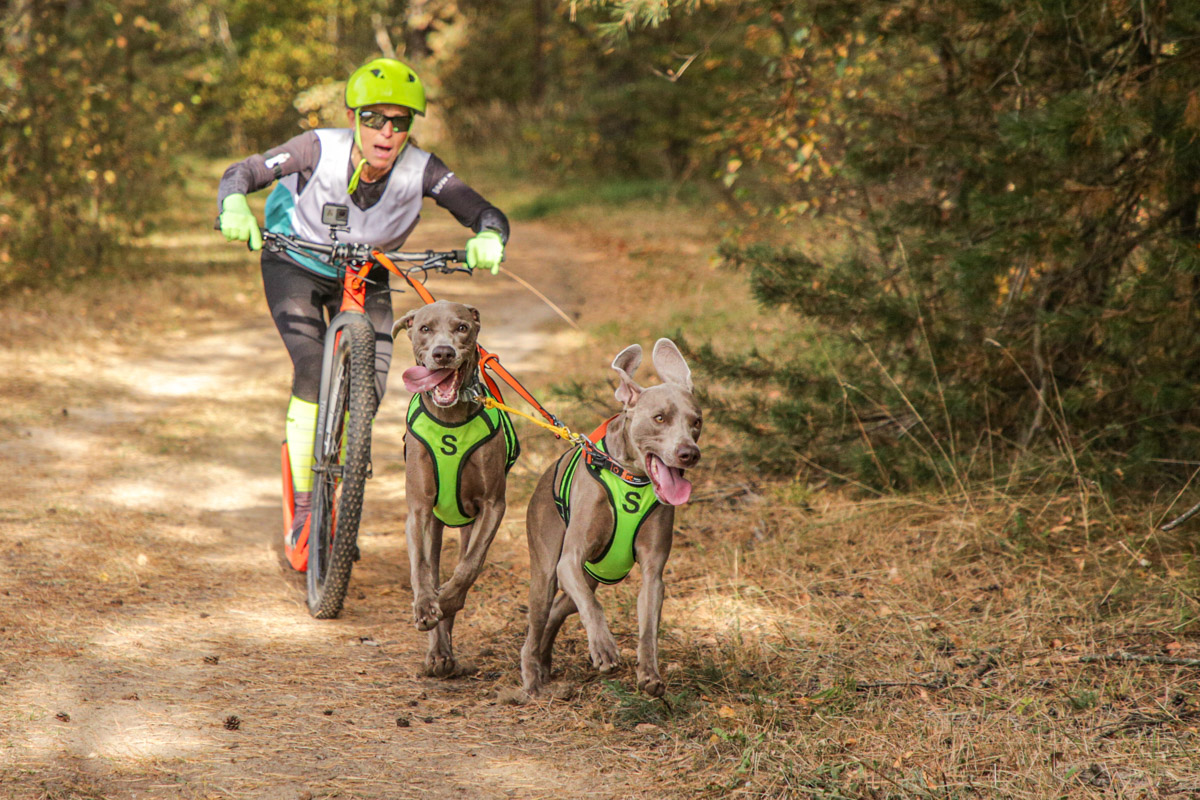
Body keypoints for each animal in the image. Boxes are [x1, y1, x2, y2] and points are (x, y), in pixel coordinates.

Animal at [391, 299, 518, 676]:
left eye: (462, 327)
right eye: (424, 329)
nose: (443, 353)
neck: (450, 419)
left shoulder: (492, 505)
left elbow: (469, 566)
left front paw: (447, 599)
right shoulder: (419, 509)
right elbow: (421, 568)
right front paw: (425, 607)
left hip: (467, 523)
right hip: (435, 524)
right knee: (431, 565)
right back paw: (438, 651)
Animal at [518, 340, 700, 695]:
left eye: (696, 421)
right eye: (659, 418)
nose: (689, 453)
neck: (630, 477)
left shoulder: (653, 575)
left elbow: (648, 628)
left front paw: (649, 674)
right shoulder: (569, 560)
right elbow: (594, 607)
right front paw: (603, 647)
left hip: (589, 576)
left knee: (559, 610)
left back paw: (545, 662)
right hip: (546, 570)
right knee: (537, 621)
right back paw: (532, 676)